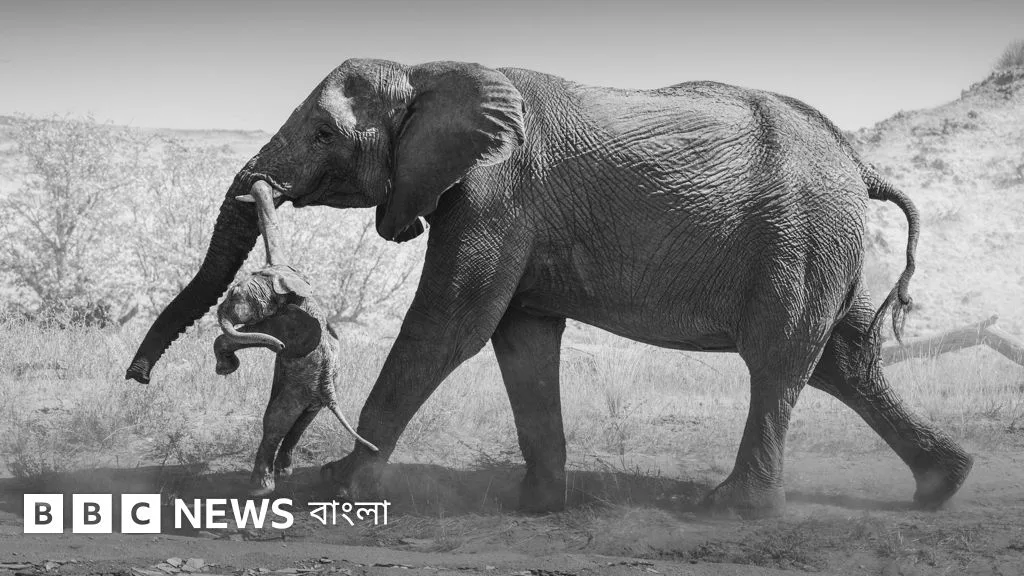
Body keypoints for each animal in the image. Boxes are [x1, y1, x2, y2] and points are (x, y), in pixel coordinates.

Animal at [213, 181, 377, 496]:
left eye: (235, 296)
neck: (281, 288)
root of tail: (328, 390)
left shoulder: (285, 322)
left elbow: (251, 334)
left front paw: (229, 364)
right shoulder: (280, 269)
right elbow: (271, 230)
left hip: (301, 388)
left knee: (276, 421)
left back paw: (261, 487)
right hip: (312, 394)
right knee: (301, 422)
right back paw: (283, 472)